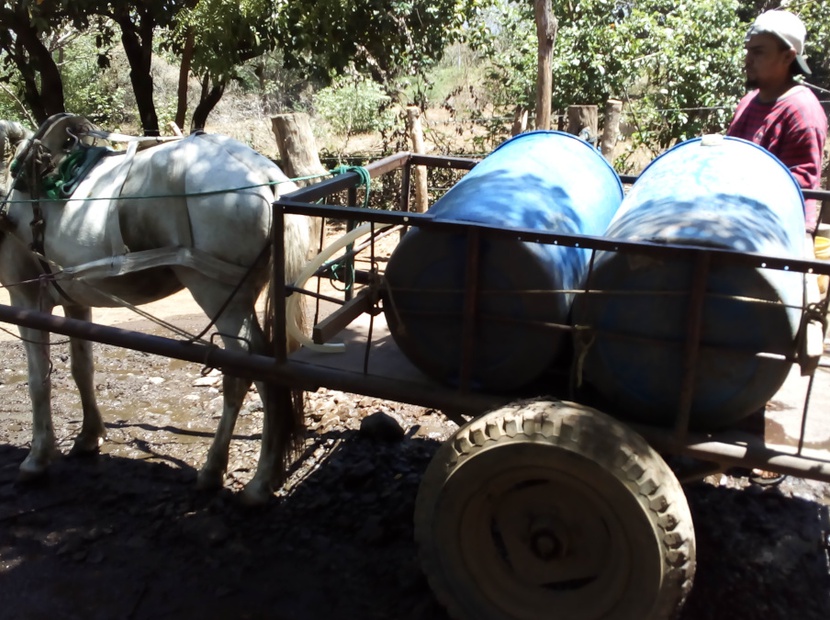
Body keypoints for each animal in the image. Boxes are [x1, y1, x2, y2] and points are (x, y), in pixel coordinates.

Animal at [0, 114, 316, 506]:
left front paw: (37, 457)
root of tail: (264, 173)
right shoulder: (75, 300)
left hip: (217, 293)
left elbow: (38, 380)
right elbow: (81, 369)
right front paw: (89, 436)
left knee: (250, 369)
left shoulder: (26, 297)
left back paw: (248, 480)